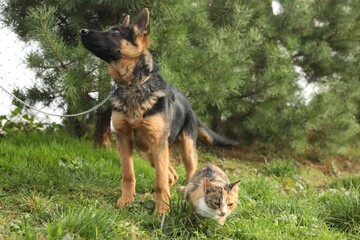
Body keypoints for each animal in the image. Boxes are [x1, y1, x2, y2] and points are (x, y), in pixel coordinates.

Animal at [80, 8, 236, 215]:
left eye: (115, 32)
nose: (82, 31)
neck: (134, 86)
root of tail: (189, 105)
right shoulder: (124, 140)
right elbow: (128, 174)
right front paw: (127, 200)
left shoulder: (157, 143)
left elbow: (159, 181)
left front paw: (161, 210)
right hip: (151, 152)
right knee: (172, 175)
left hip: (184, 151)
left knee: (186, 175)